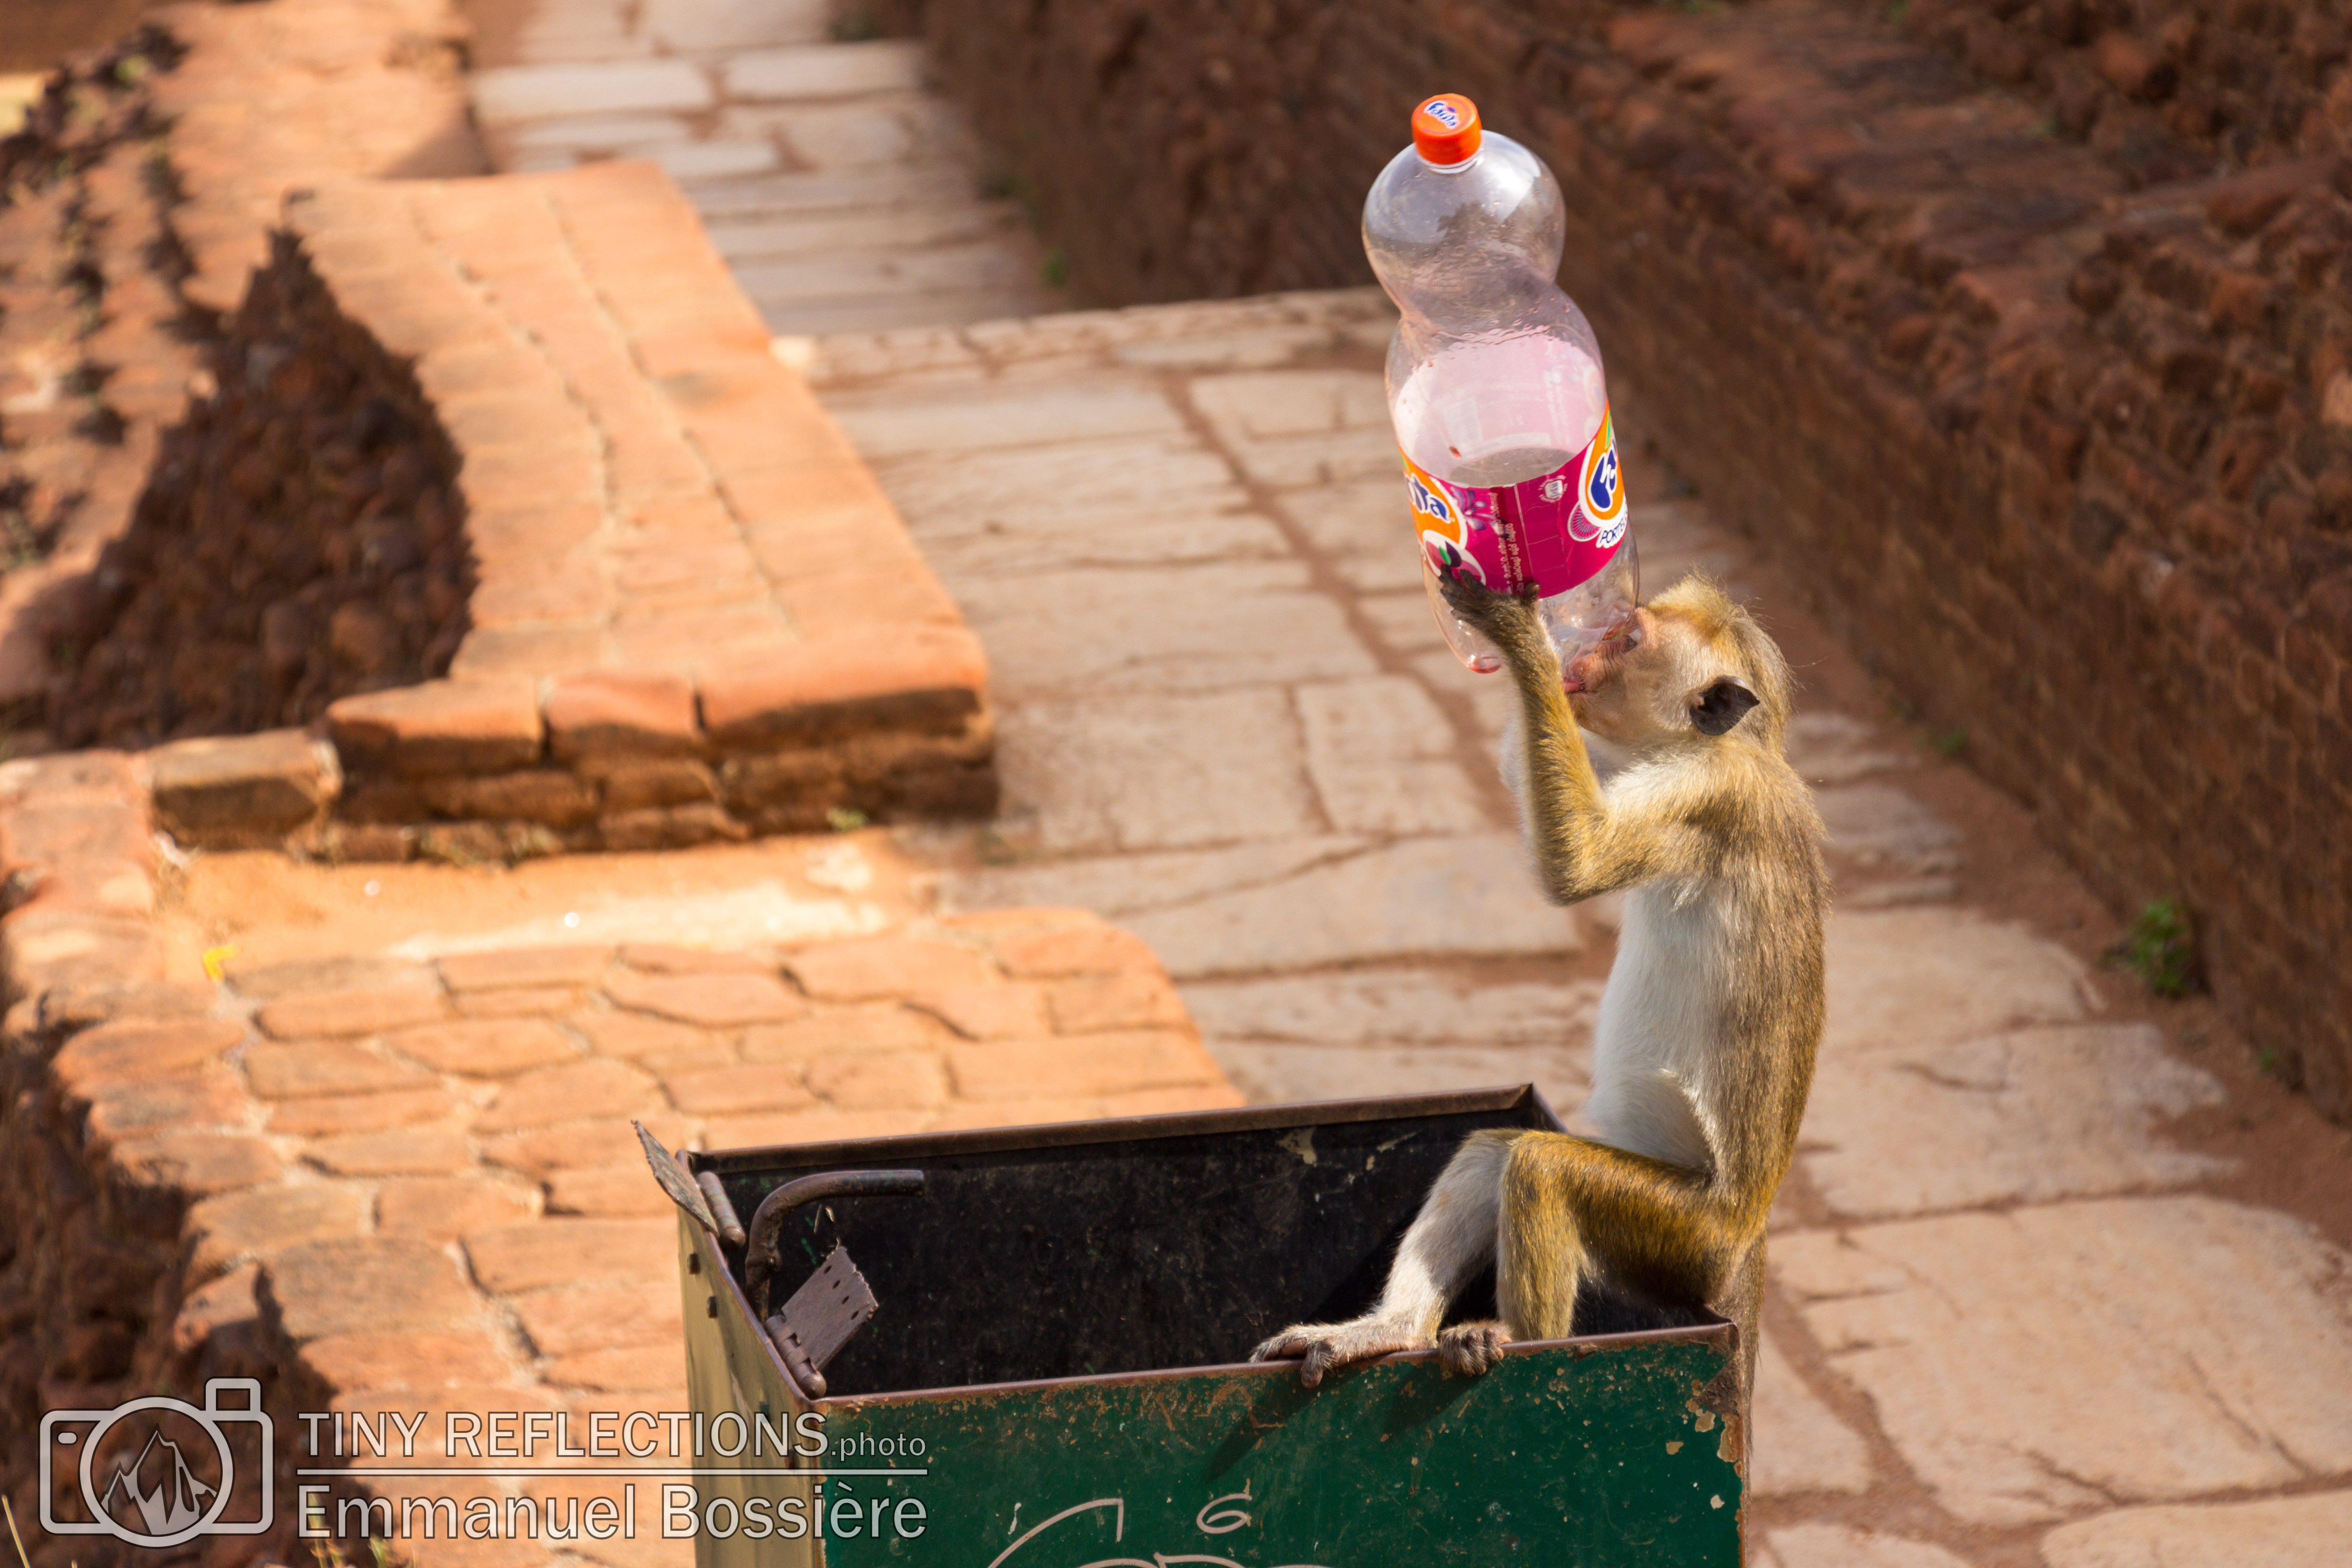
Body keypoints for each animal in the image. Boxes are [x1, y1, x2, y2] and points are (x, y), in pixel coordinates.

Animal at [1250, 571, 1826, 1400]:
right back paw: (1395, 1329)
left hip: (1684, 1236)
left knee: (1540, 1168)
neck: (1726, 746)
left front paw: (1517, 637)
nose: (1582, 660)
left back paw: (1522, 1344)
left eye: (1628, 641)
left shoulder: (1703, 793)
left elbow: (1579, 861)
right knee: (1496, 1150)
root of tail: (1745, 1240)